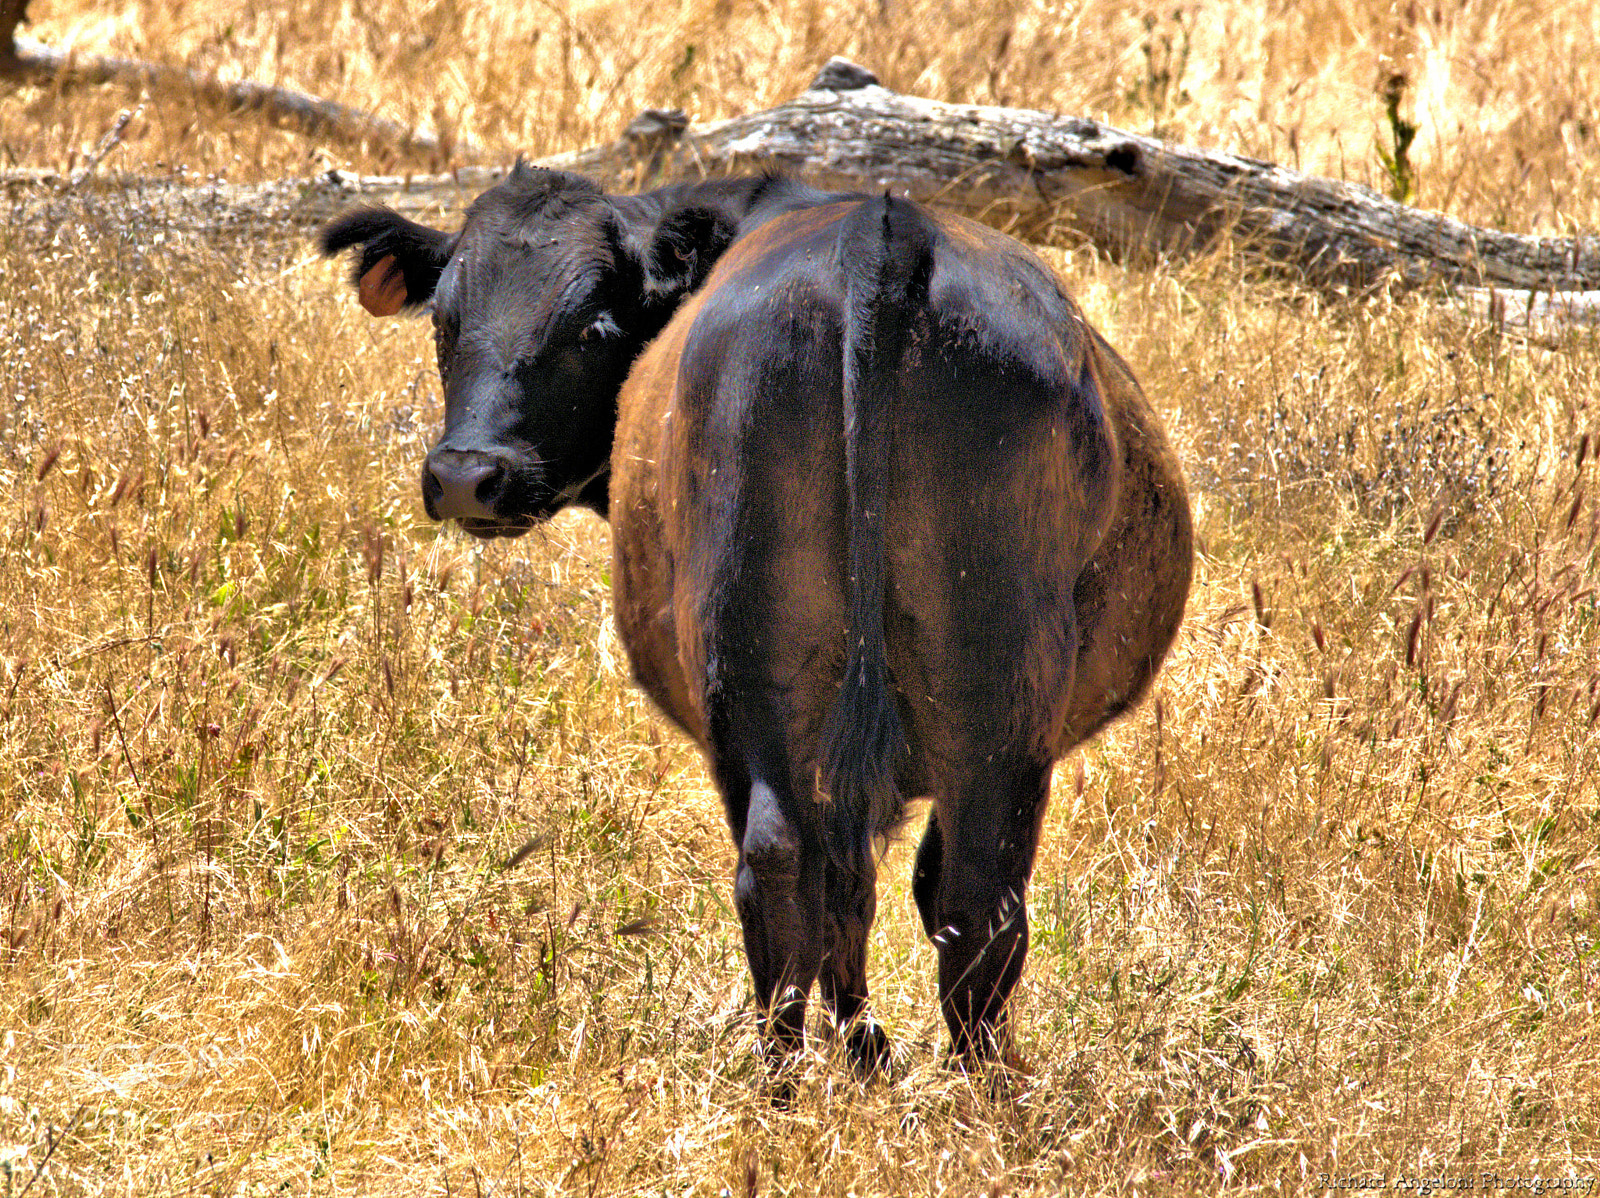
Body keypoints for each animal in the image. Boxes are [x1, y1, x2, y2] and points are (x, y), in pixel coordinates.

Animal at [321, 163, 1193, 1073]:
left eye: (593, 327)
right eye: (444, 321)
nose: (466, 475)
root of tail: (884, 238)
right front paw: (868, 1053)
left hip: (809, 687)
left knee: (852, 882)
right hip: (938, 703)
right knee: (913, 890)